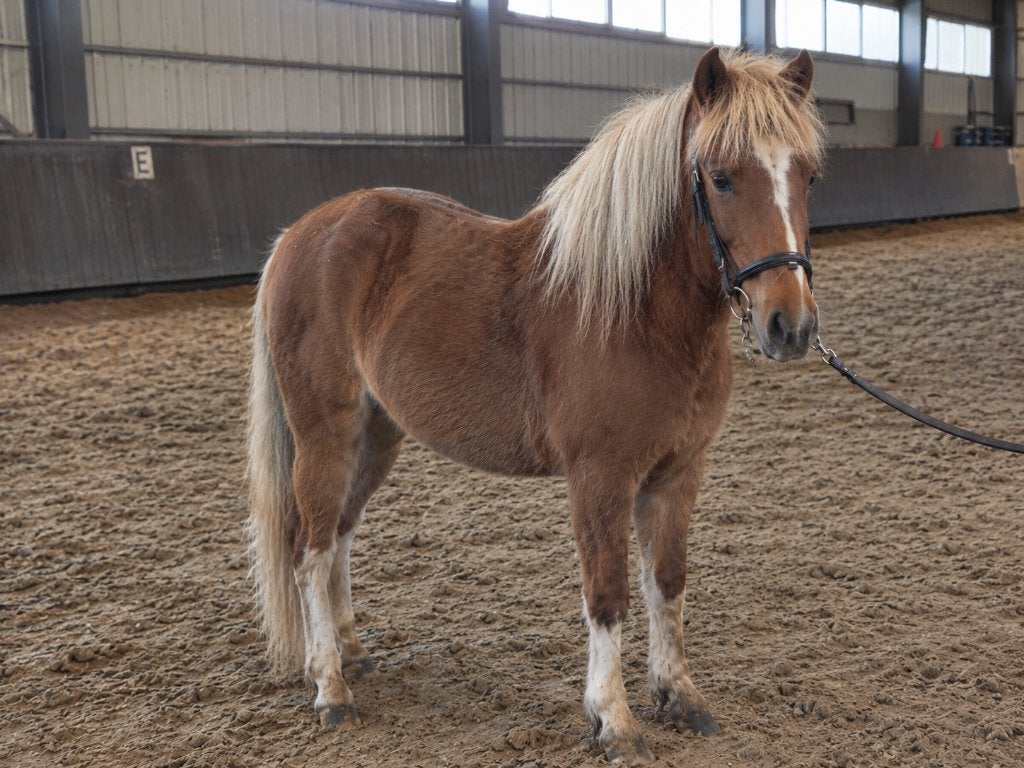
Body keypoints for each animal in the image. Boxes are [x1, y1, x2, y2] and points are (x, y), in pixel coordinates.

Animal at [247, 46, 825, 765]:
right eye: (721, 178)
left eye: (808, 176)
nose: (790, 326)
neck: (637, 311)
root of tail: (299, 234)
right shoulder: (600, 478)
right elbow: (607, 593)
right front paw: (613, 719)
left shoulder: (678, 474)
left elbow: (667, 582)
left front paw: (680, 696)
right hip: (326, 434)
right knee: (312, 546)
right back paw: (330, 687)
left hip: (377, 437)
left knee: (340, 536)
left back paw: (349, 653)